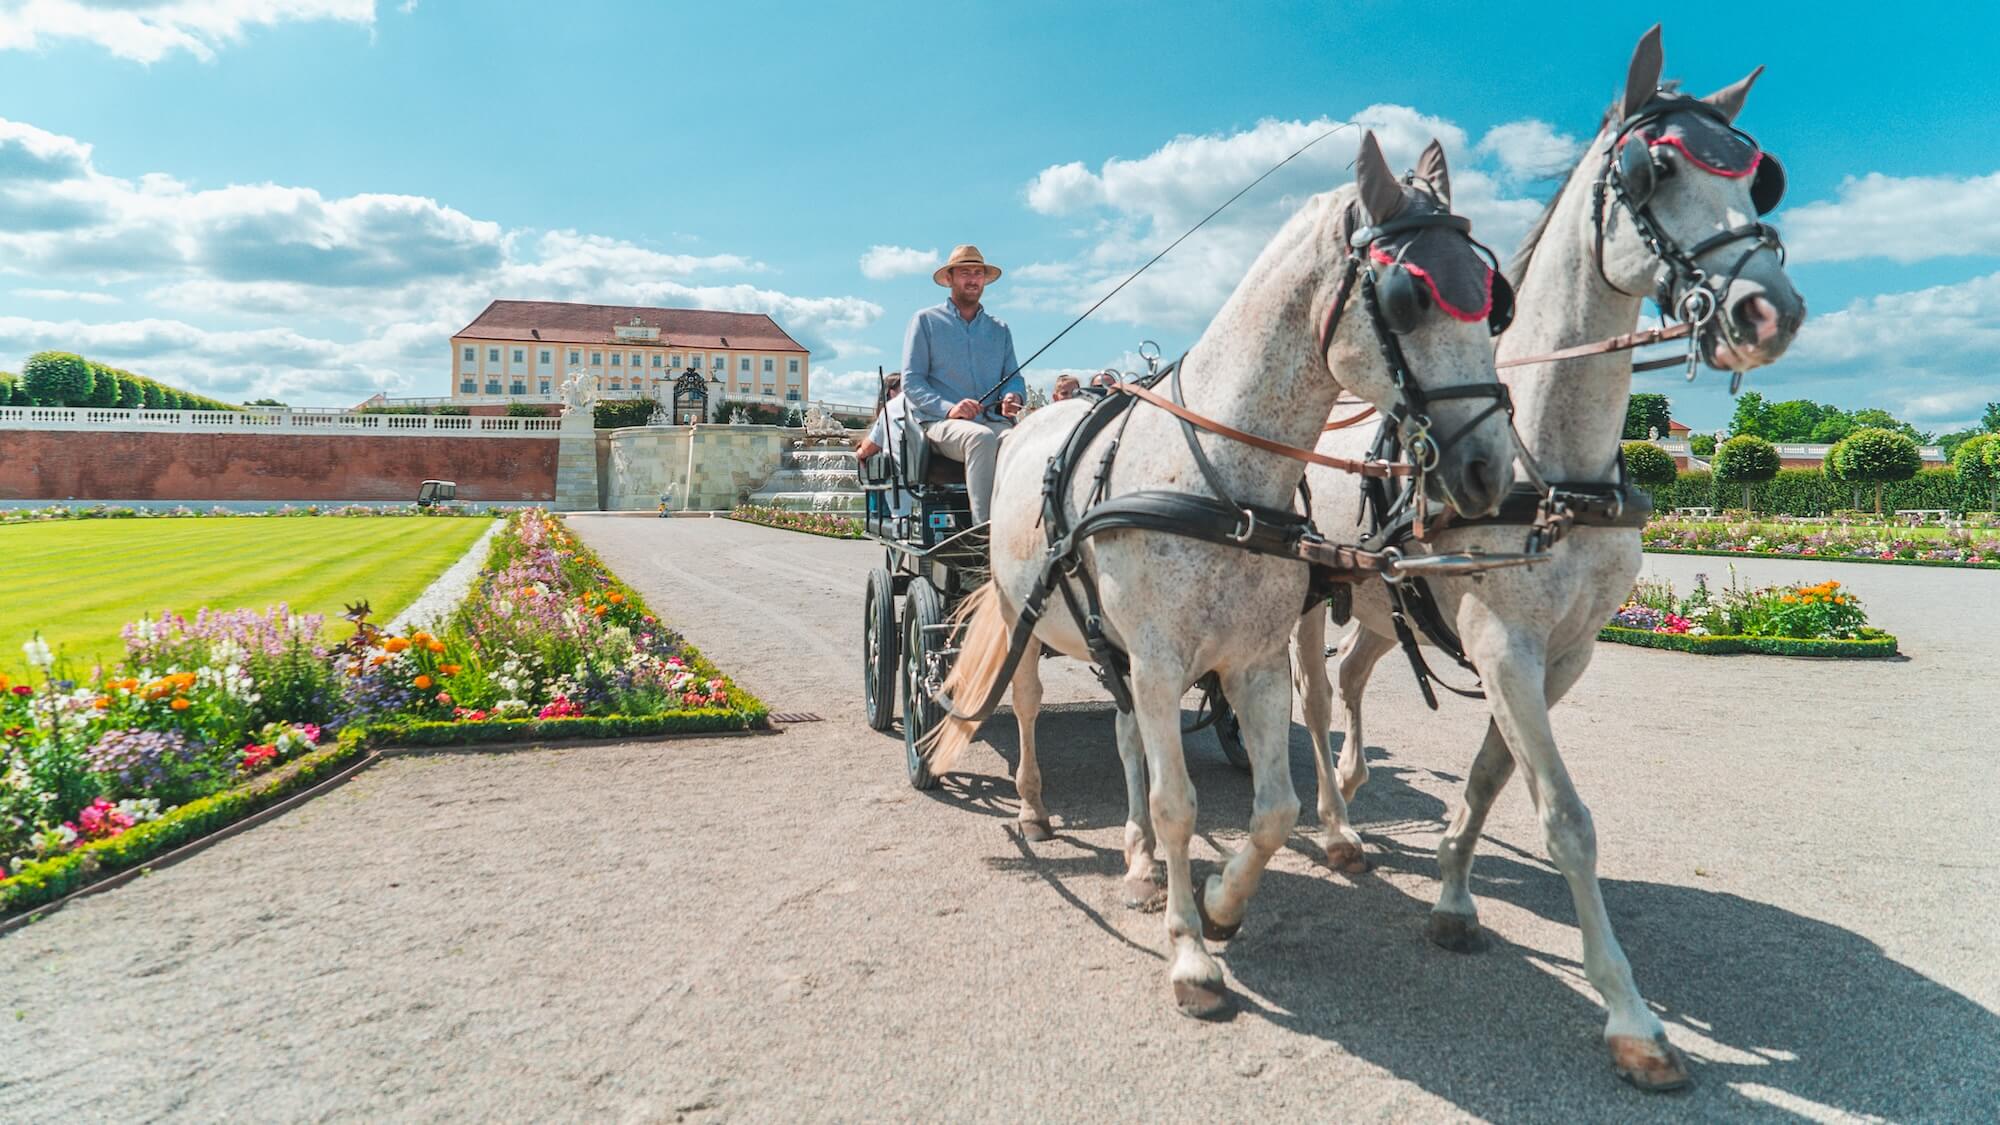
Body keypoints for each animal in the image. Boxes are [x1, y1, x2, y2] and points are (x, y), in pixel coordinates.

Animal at [920, 133, 1512, 1016]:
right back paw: (1033, 808)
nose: (1490, 469)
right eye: (1412, 296)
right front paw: (1191, 954)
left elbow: (1274, 809)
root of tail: (1026, 420)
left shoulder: (1253, 662)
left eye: (1493, 297)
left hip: (1117, 648)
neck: (1223, 482)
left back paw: (1135, 863)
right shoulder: (1164, 663)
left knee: (1128, 736)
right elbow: (1179, 805)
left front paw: (1221, 903)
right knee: (1023, 704)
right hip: (1029, 614)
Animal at [1288, 26, 1808, 1080]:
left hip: (1382, 602)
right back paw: (1334, 822)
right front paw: (1630, 1013)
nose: (1767, 310)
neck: (1548, 457)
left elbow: (1495, 777)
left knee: (1356, 676)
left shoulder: (1563, 653)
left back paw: (1356, 783)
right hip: (1309, 593)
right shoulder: (1504, 643)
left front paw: (1452, 893)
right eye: (1653, 169)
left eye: (1758, 176)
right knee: (1313, 696)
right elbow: (1566, 815)